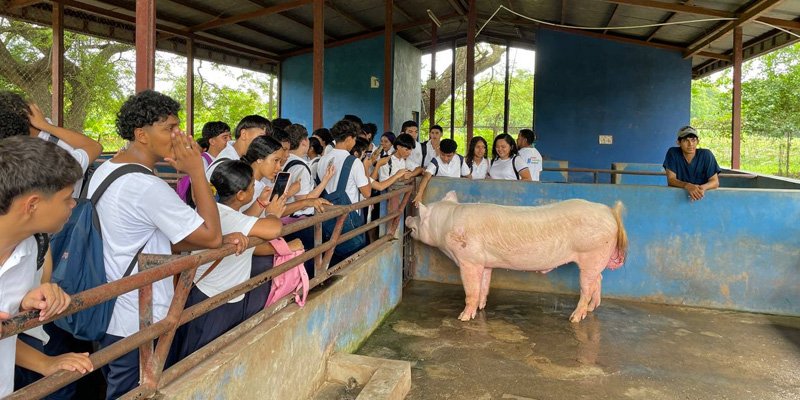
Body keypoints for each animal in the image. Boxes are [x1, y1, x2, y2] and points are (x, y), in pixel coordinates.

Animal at [406, 192, 624, 324]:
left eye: (419, 214)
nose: (408, 217)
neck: (445, 227)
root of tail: (609, 211)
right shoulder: (484, 263)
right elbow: (484, 286)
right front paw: (481, 307)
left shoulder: (469, 260)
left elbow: (471, 290)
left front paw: (463, 318)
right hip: (596, 259)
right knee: (598, 279)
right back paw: (592, 308)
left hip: (591, 254)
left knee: (587, 287)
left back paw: (575, 318)